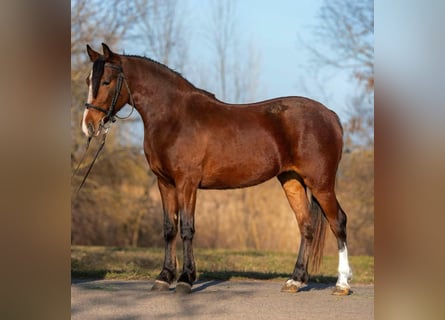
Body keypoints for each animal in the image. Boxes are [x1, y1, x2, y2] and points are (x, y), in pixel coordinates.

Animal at [79, 43, 350, 296]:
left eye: (106, 81)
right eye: (88, 80)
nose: (89, 126)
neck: (173, 117)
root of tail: (331, 116)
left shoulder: (187, 183)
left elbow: (187, 229)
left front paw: (186, 279)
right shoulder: (164, 183)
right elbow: (169, 229)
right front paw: (164, 277)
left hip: (321, 183)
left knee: (338, 222)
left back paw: (342, 284)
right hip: (292, 180)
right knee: (306, 225)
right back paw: (295, 280)